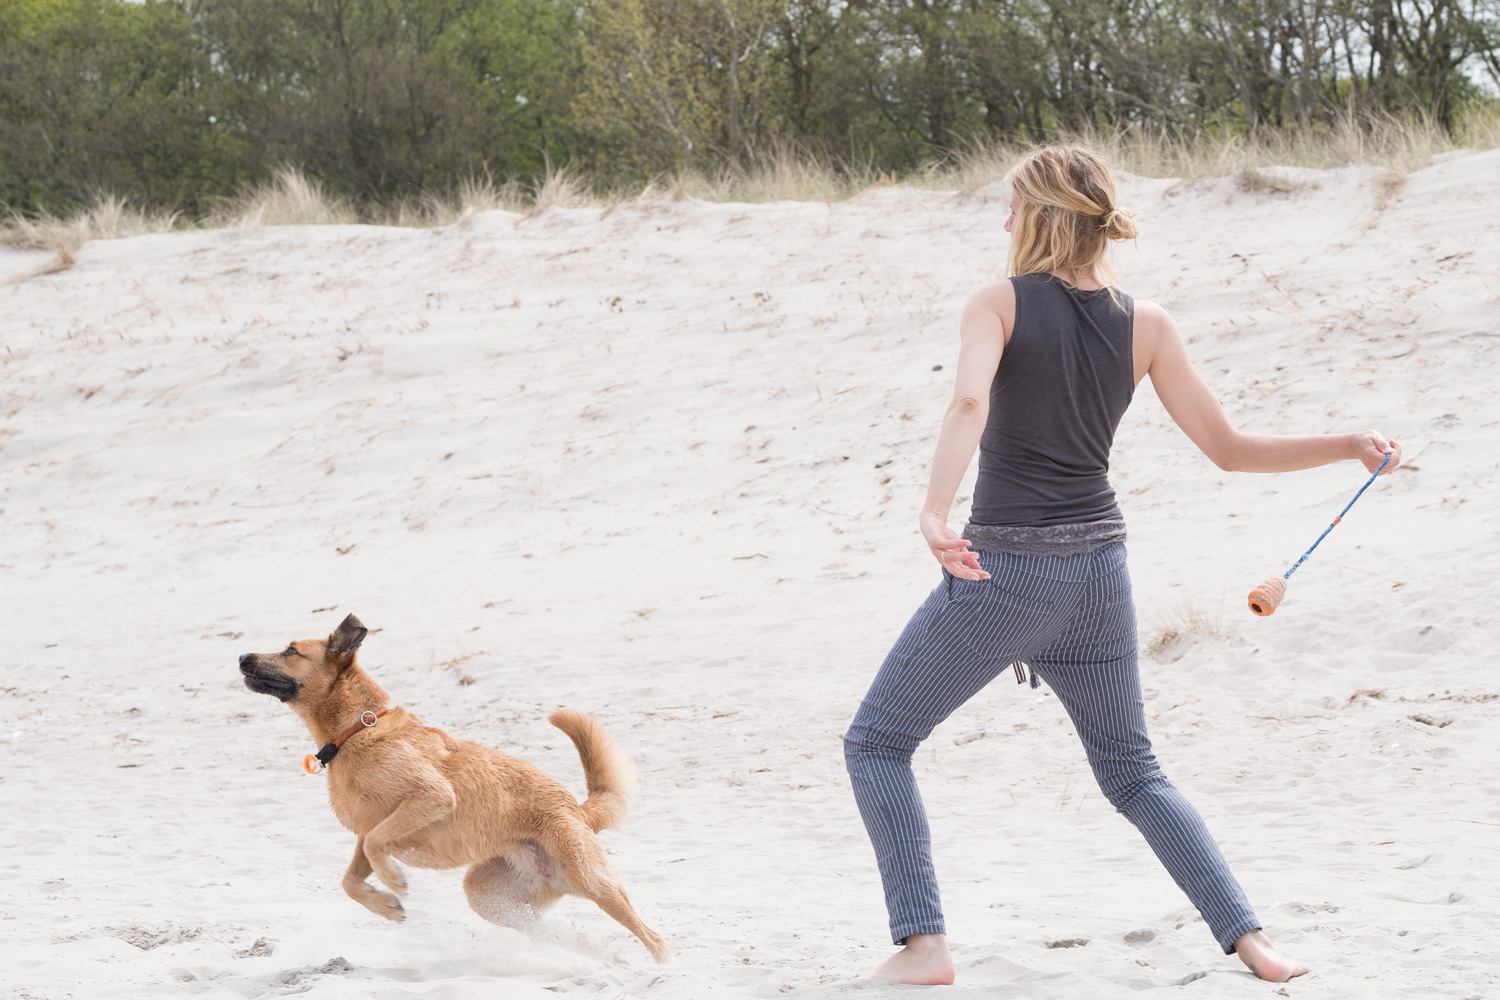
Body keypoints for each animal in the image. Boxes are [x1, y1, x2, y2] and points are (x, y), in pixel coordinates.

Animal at [235, 611, 669, 959]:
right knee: (544, 930)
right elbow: (350, 880)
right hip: (488, 896)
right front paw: (385, 904)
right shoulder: (365, 830)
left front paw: (394, 881)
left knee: (655, 939)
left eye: (291, 650)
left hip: (593, 882)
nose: (241, 657)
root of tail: (578, 810)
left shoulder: (430, 797)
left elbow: (378, 845)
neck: (357, 730)